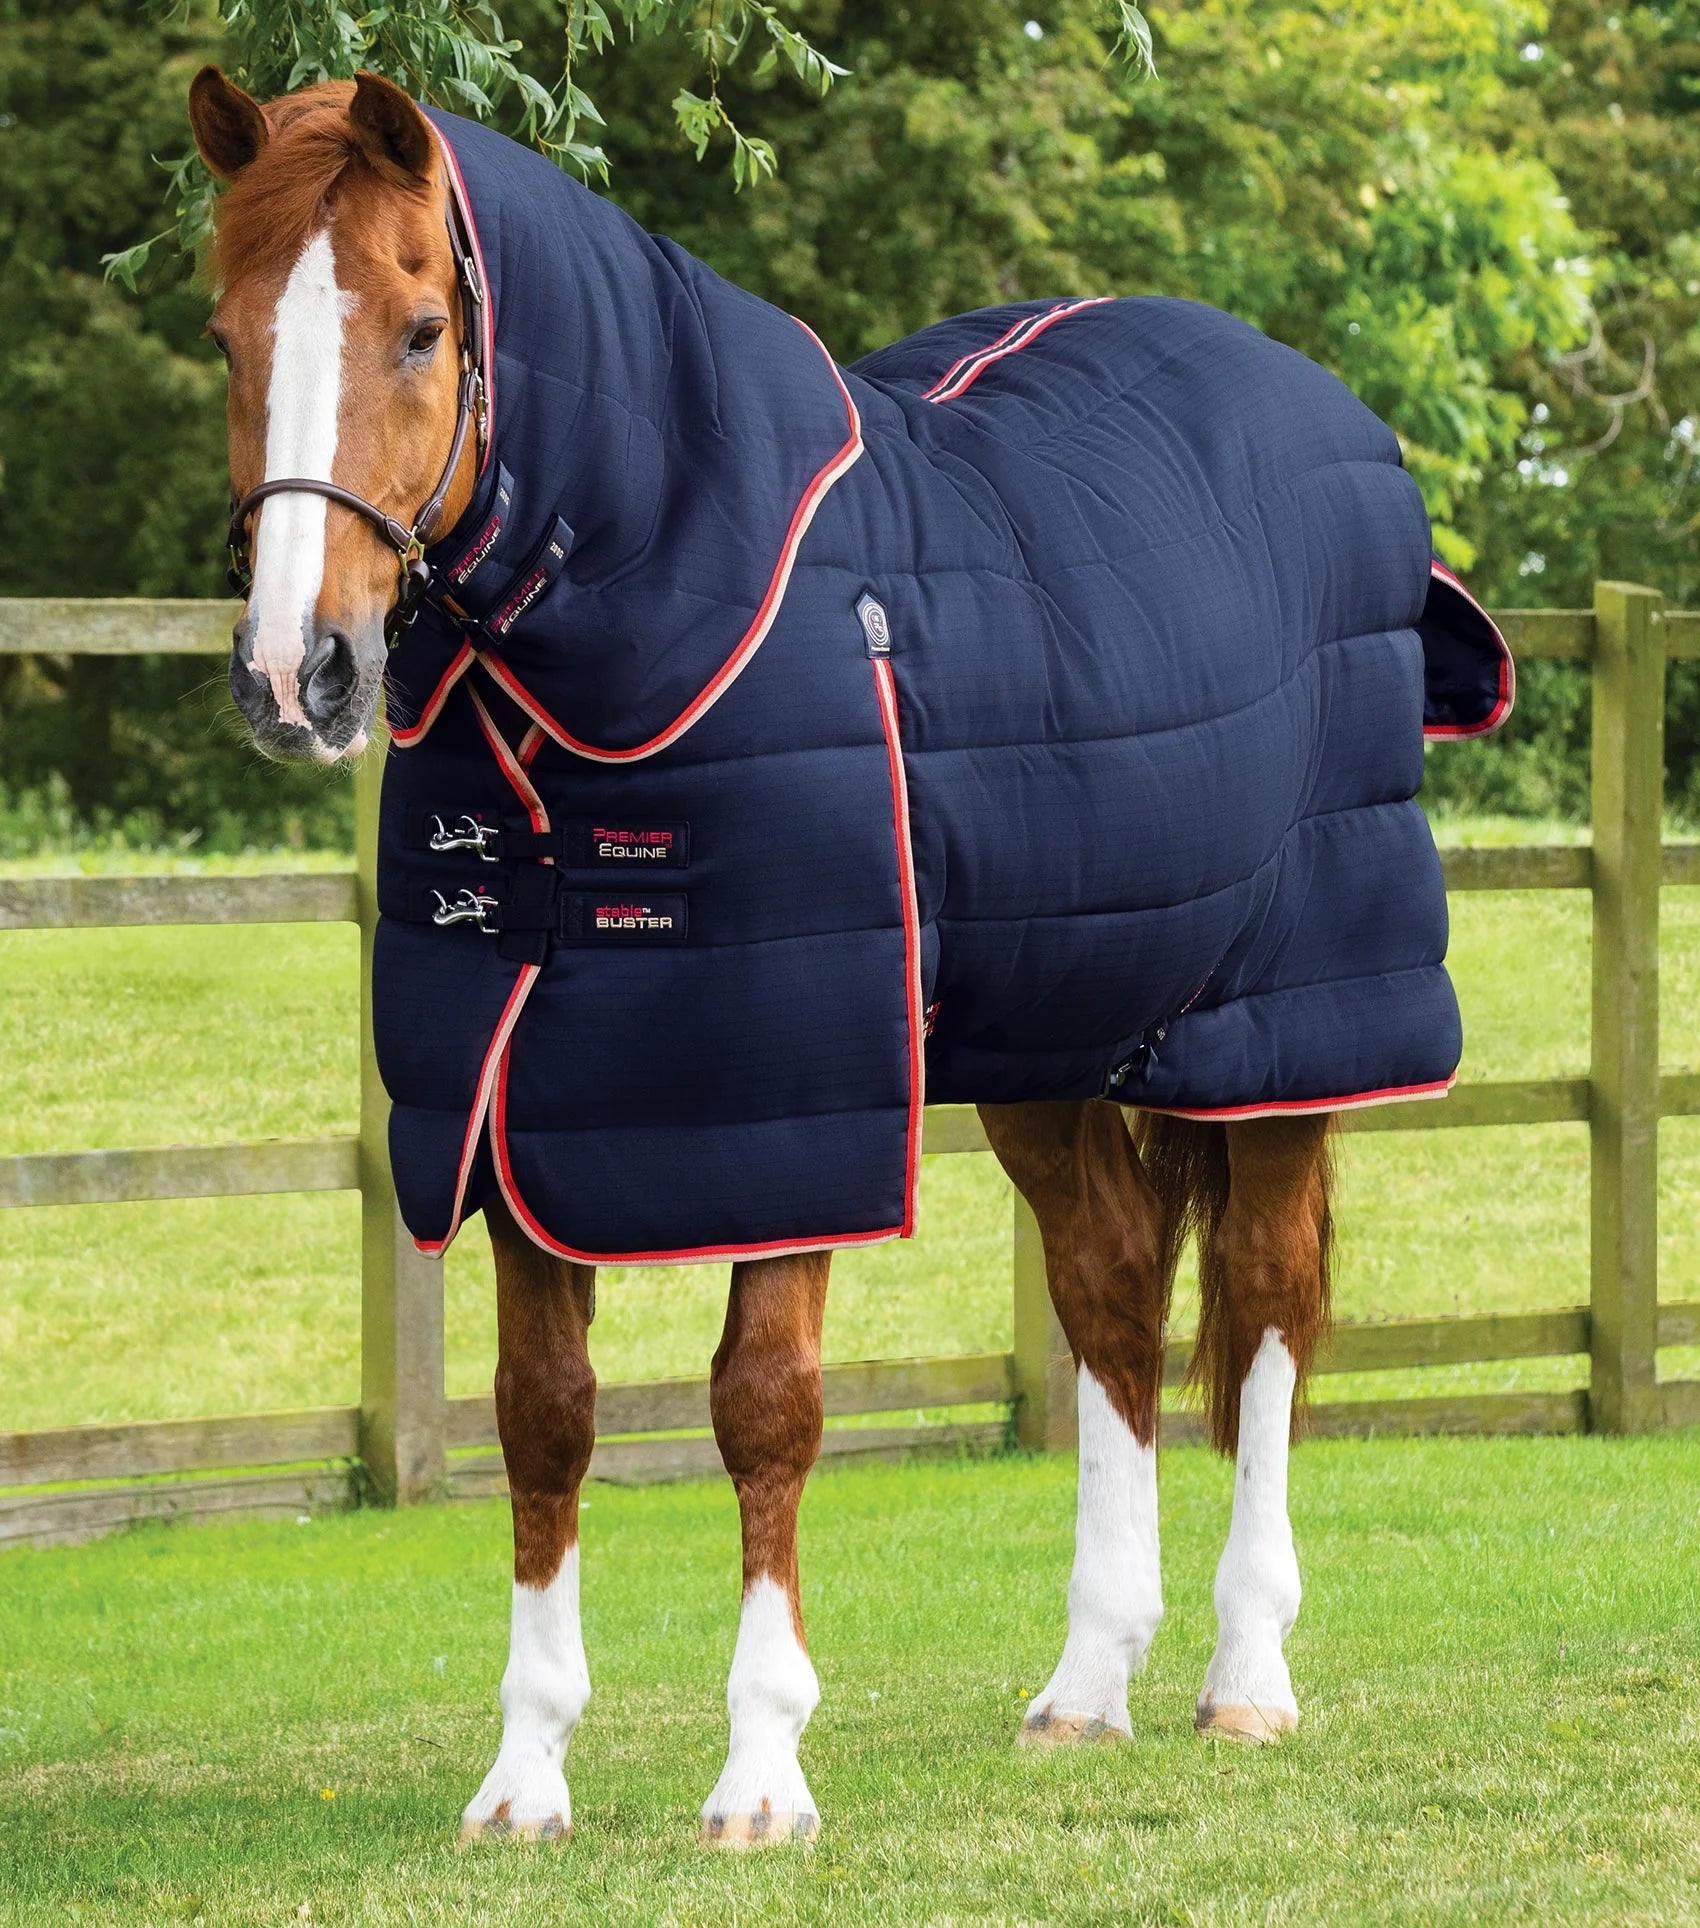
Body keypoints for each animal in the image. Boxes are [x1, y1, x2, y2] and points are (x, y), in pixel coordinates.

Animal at [187, 66, 1507, 1846]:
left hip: (1286, 1033)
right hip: (1049, 1039)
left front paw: (761, 1775)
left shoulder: (794, 1114)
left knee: (1268, 1302)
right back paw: (1090, 1687)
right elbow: (543, 1420)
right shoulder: (522, 1111)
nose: (295, 674)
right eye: (228, 331)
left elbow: (766, 1407)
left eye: (419, 328)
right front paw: (525, 1780)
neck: (666, 608)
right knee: (1109, 1289)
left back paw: (1246, 1677)